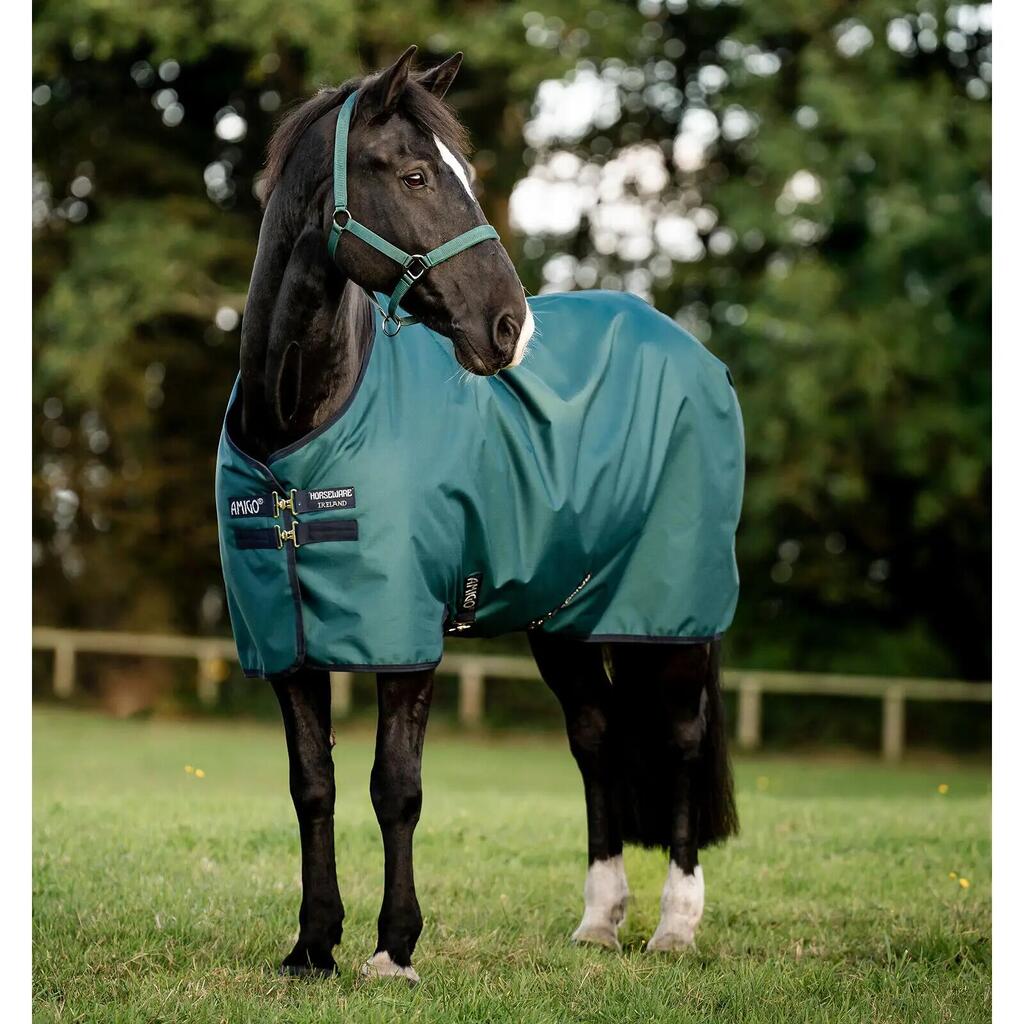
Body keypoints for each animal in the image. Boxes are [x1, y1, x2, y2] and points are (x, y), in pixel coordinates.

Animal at [222, 45, 740, 983]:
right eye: (416, 174)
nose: (509, 327)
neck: (298, 434)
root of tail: (692, 351)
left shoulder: (406, 638)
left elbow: (396, 787)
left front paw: (393, 949)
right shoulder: (286, 642)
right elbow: (312, 785)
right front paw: (313, 945)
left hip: (674, 616)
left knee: (680, 742)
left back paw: (676, 926)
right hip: (565, 619)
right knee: (596, 737)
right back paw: (599, 921)